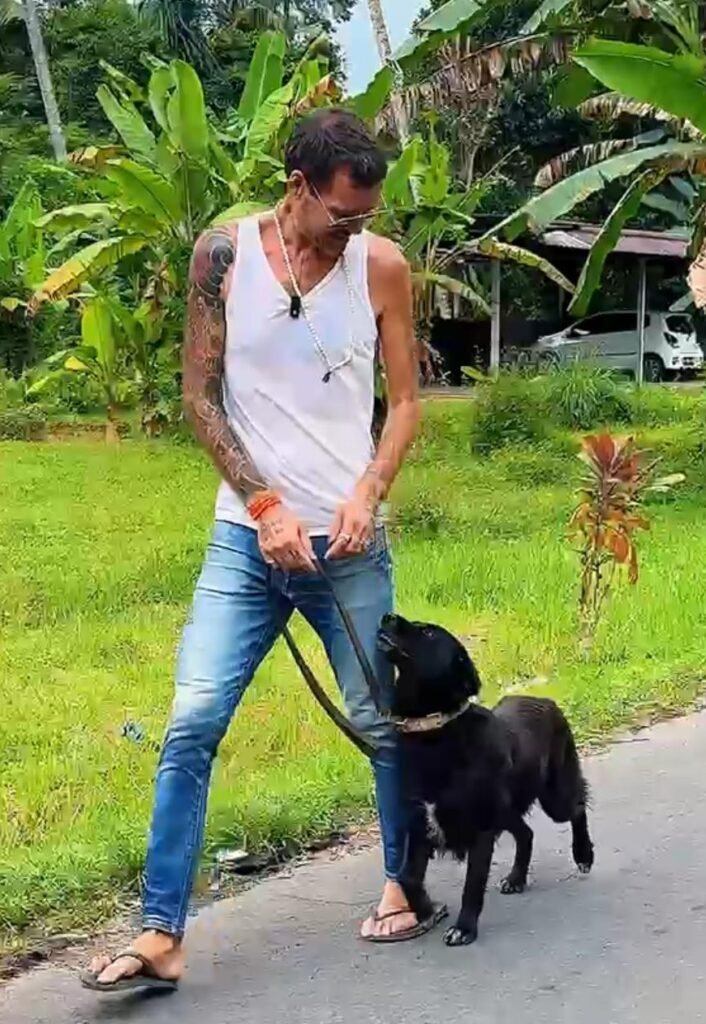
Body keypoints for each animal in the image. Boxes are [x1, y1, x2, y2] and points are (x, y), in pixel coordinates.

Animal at [377, 614, 594, 947]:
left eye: (428, 633)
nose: (386, 617)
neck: (435, 733)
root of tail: (546, 700)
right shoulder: (418, 823)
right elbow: (408, 878)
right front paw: (425, 910)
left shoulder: (480, 831)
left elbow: (472, 886)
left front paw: (464, 928)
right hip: (505, 810)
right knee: (527, 833)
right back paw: (516, 879)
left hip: (552, 796)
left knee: (577, 808)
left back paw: (583, 854)